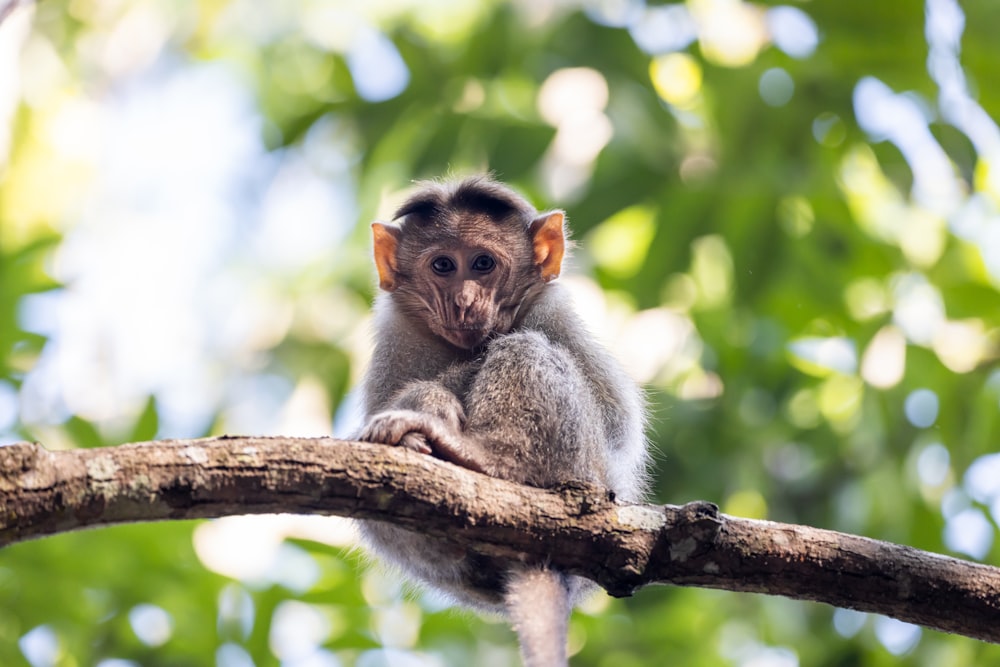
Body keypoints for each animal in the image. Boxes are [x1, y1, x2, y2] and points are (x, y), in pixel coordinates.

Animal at [356, 175, 652, 664]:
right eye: (443, 265)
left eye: (483, 264)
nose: (464, 301)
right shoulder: (396, 338)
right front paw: (428, 401)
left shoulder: (553, 313)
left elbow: (617, 421)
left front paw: (432, 397)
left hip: (583, 469)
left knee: (524, 349)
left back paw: (482, 456)